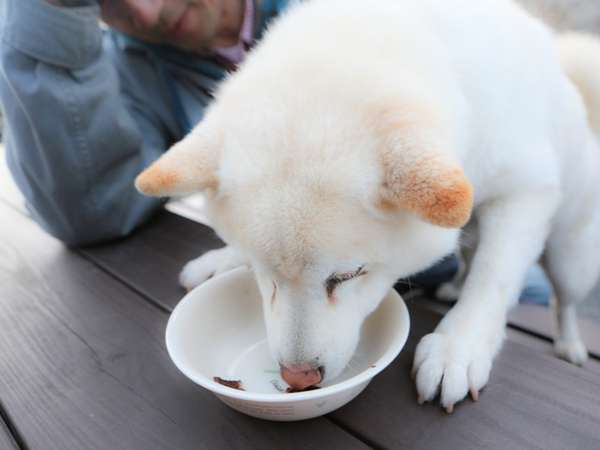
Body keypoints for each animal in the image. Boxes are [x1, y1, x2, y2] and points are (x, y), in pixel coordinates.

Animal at [136, 0, 600, 412]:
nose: (297, 379)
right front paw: (221, 259)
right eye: (260, 273)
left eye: (348, 275)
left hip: (570, 256)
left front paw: (458, 346)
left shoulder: (526, 190)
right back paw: (454, 285)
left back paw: (569, 344)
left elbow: (492, 279)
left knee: (564, 300)